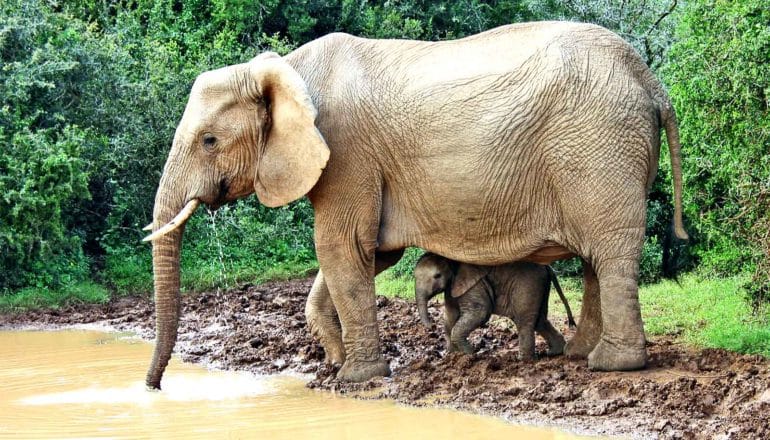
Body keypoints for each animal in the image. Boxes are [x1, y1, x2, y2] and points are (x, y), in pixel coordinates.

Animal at [414, 253, 568, 360]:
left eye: (437, 276)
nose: (432, 326)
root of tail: (547, 267)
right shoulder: (453, 286)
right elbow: (450, 316)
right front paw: (453, 356)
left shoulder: (472, 283)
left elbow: (480, 313)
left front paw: (470, 355)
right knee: (540, 320)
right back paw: (553, 353)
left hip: (528, 284)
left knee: (524, 320)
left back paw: (524, 361)